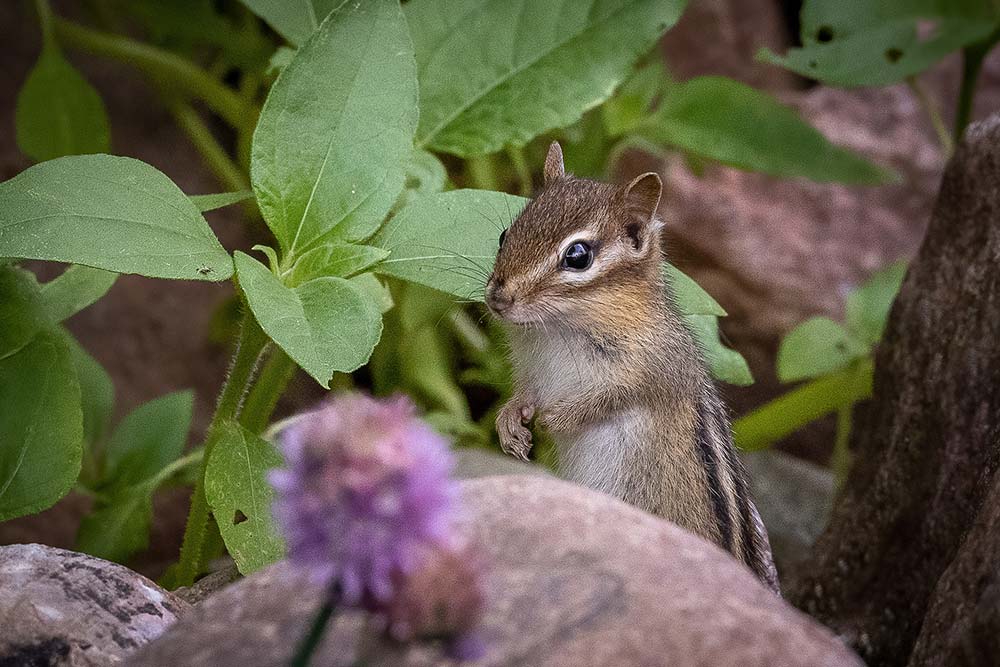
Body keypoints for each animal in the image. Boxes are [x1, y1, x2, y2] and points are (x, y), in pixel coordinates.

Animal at [486, 142, 779, 593]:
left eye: (578, 256)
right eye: (505, 235)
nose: (497, 298)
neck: (558, 328)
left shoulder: (649, 372)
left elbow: (607, 400)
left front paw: (553, 419)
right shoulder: (531, 369)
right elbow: (523, 394)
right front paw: (509, 423)